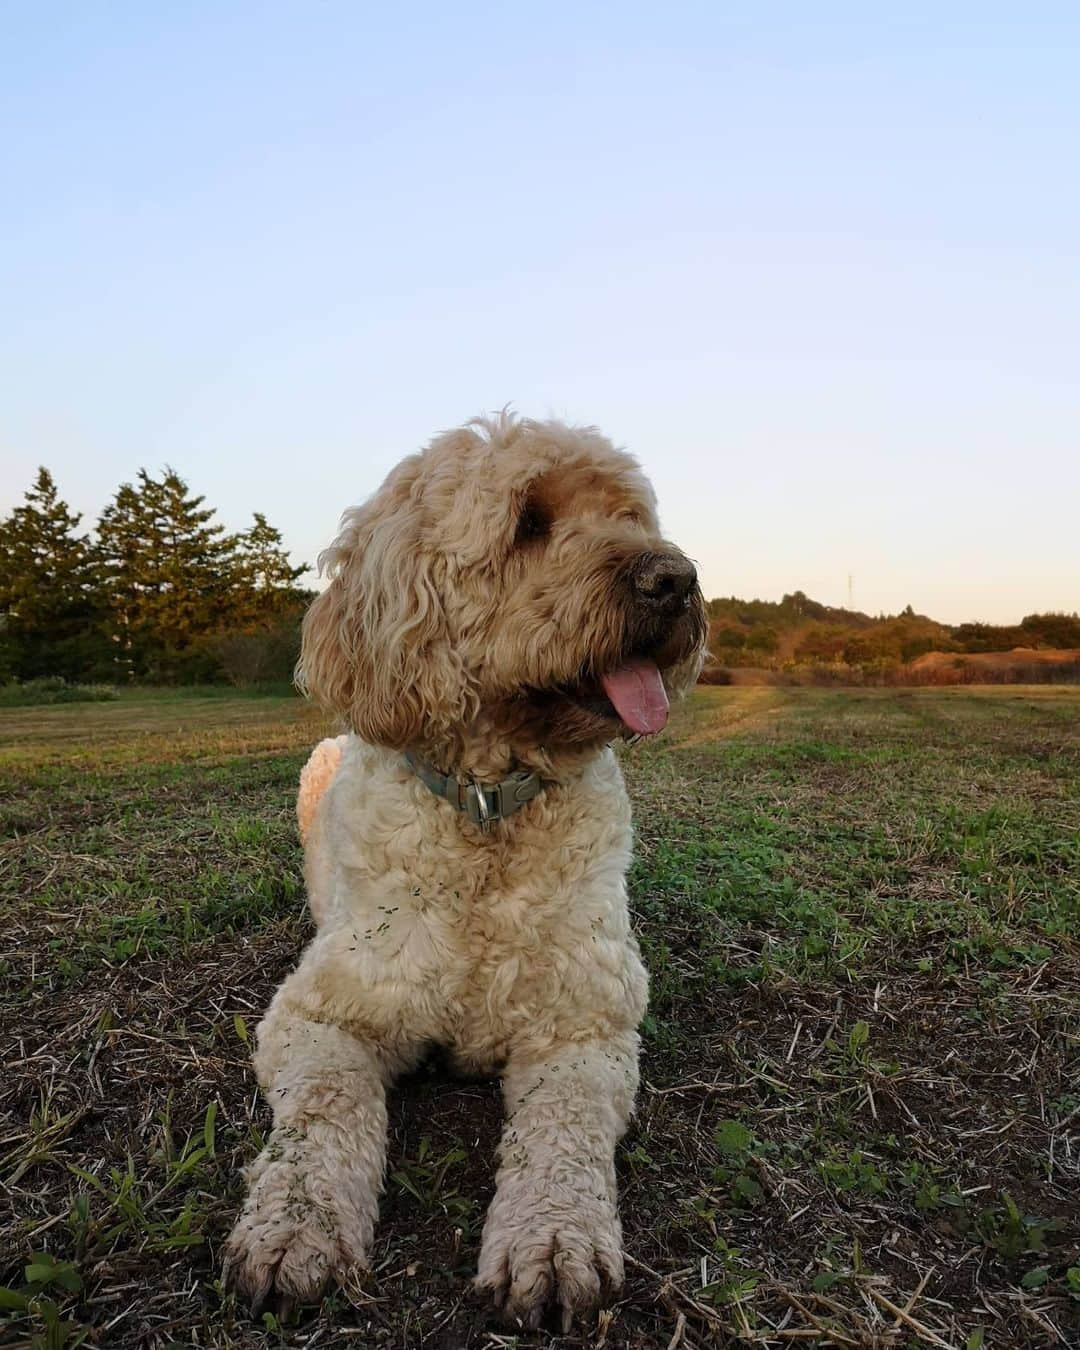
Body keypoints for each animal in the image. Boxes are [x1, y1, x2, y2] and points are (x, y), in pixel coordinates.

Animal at [224, 413, 702, 1328]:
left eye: (630, 515)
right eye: (528, 522)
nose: (677, 579)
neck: (488, 814)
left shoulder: (584, 1026)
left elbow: (563, 1133)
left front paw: (550, 1240)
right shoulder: (321, 1015)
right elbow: (325, 1111)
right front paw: (294, 1229)